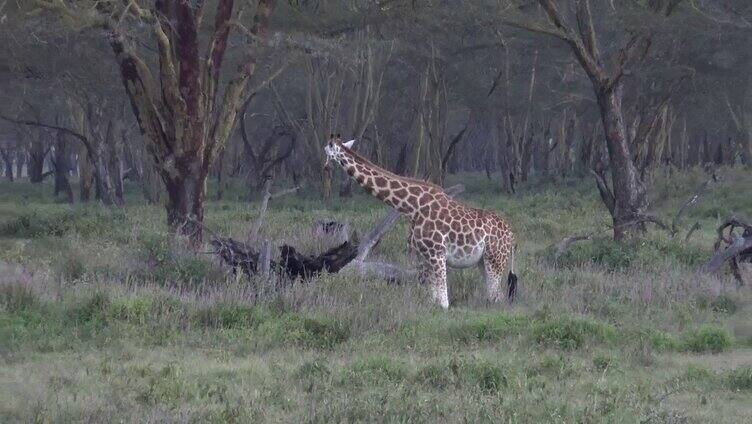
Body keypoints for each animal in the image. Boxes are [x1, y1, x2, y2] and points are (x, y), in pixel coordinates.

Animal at [324, 135, 516, 308]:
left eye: (327, 149)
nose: (325, 167)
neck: (412, 207)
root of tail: (511, 234)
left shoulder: (437, 253)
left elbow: (444, 304)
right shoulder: (423, 256)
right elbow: (432, 299)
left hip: (495, 259)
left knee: (497, 297)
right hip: (483, 261)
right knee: (494, 296)